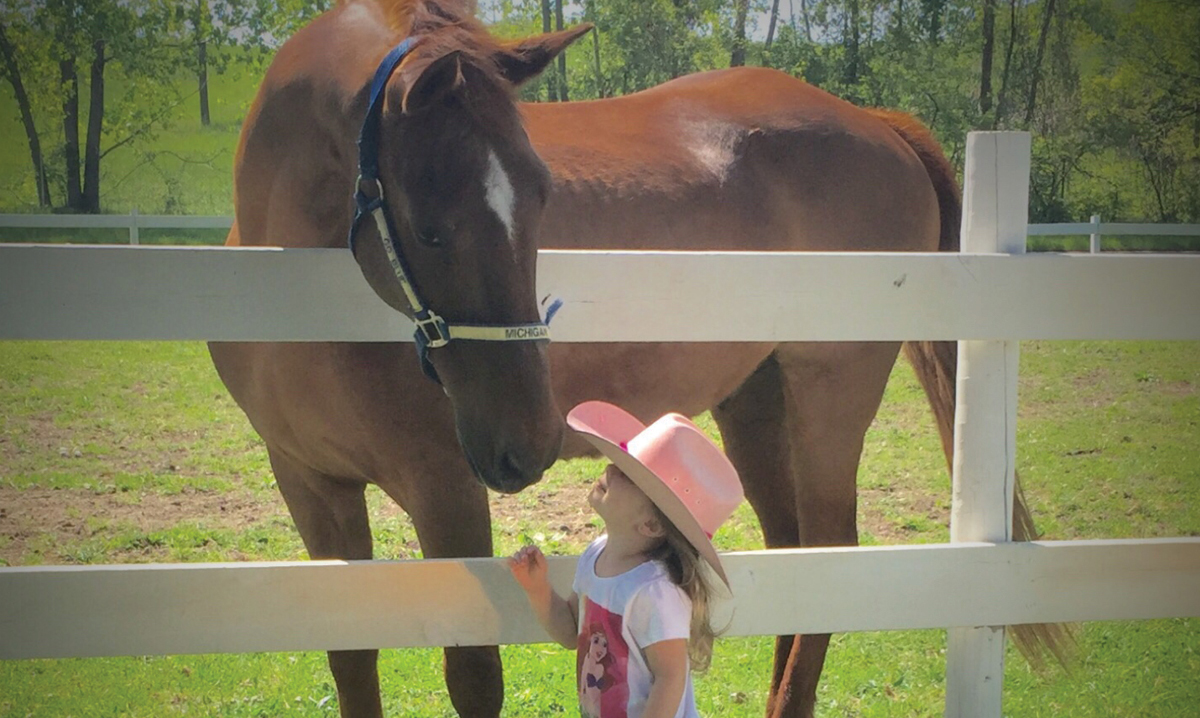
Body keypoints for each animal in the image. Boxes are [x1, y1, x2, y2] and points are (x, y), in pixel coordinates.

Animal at [208, 0, 1063, 716]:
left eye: (541, 195)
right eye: (430, 226)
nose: (526, 441)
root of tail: (874, 122)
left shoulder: (444, 488)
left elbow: (474, 676)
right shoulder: (309, 484)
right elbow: (351, 656)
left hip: (831, 388)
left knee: (828, 562)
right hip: (756, 401)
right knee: (790, 564)